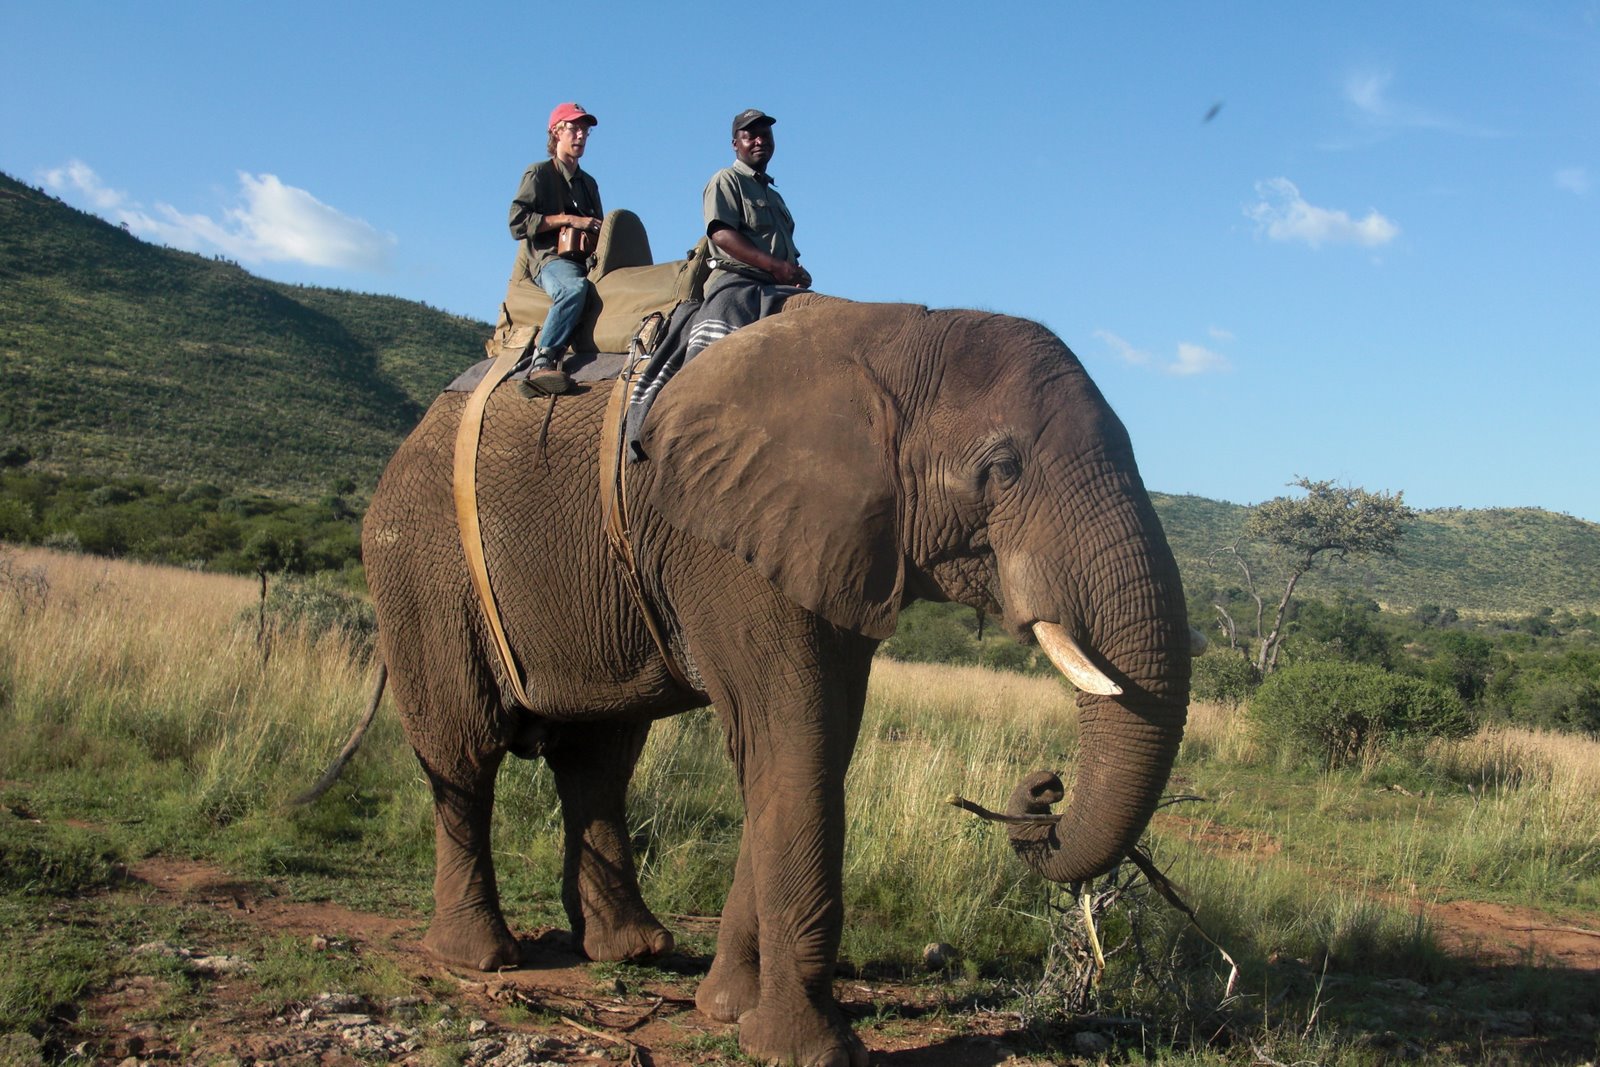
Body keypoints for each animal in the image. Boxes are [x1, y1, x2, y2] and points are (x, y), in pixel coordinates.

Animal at [359, 296, 1191, 1067]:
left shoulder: (835, 545)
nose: (1045, 784)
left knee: (598, 760)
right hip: (419, 563)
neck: (892, 337)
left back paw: (633, 949)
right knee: (465, 751)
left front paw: (727, 1009)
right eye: (1001, 469)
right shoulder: (726, 543)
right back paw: (479, 956)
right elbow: (794, 743)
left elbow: (802, 751)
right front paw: (804, 1049)